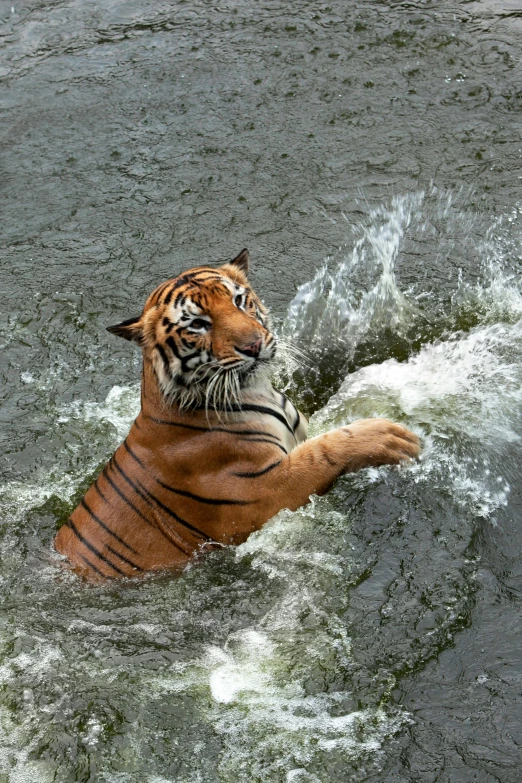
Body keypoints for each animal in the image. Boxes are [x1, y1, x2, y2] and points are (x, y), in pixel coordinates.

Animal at [53, 251, 418, 580]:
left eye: (240, 301)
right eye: (198, 324)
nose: (254, 345)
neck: (256, 389)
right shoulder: (264, 493)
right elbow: (322, 453)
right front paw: (391, 437)